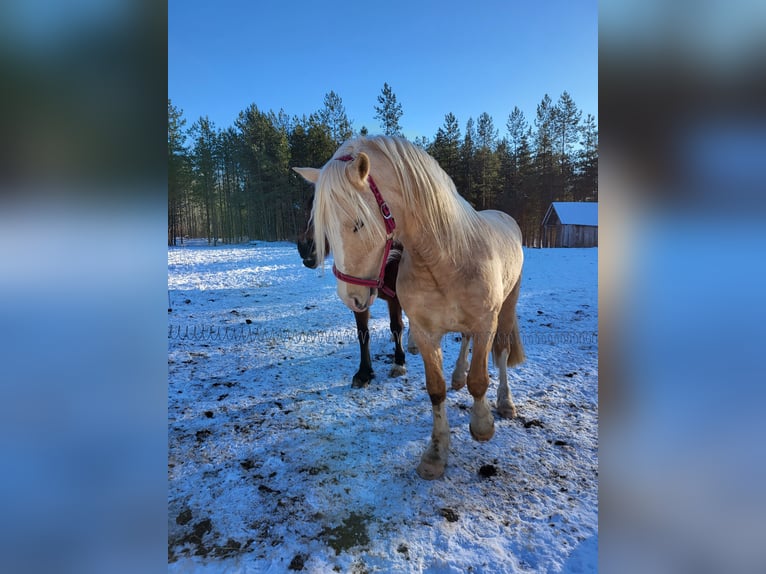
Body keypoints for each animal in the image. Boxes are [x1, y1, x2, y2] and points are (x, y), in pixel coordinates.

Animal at [296, 191, 414, 390]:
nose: (304, 248)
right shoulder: (358, 298)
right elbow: (363, 333)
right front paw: (364, 373)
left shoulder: (395, 297)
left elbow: (396, 326)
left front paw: (399, 362)